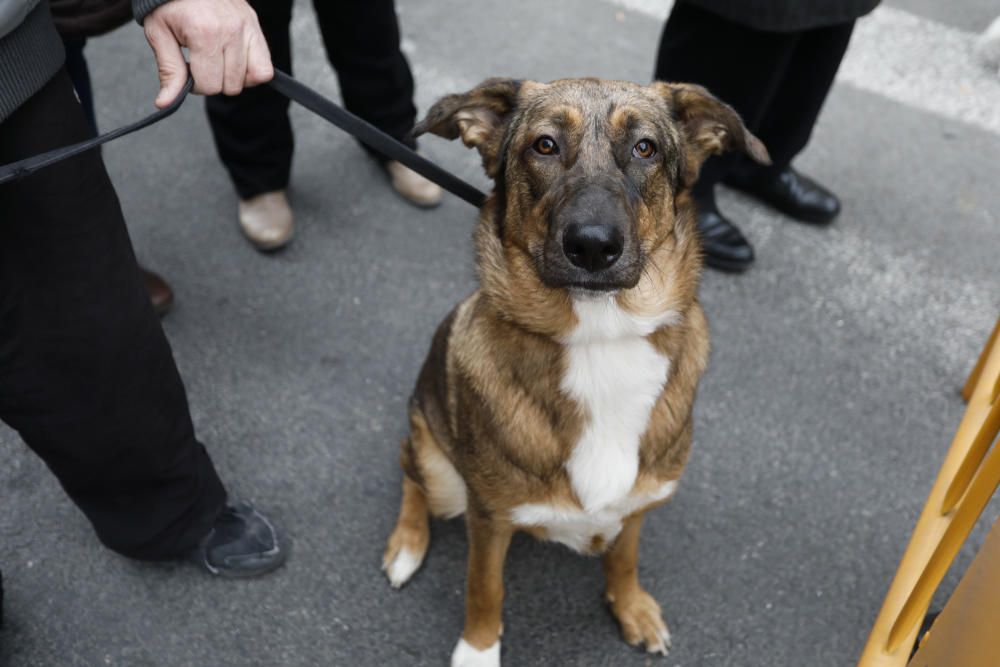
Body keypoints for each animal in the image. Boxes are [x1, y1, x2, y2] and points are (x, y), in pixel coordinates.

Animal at [380, 77, 764, 667]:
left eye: (646, 148)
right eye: (544, 145)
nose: (592, 245)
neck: (599, 338)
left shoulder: (640, 502)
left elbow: (624, 558)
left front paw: (631, 608)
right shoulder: (489, 516)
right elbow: (484, 587)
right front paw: (478, 649)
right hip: (442, 473)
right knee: (410, 471)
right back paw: (406, 545)